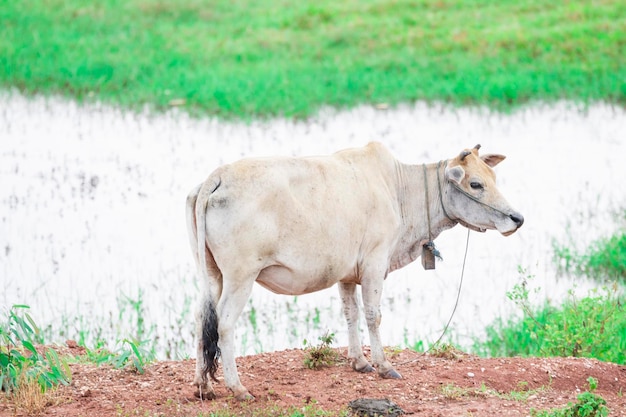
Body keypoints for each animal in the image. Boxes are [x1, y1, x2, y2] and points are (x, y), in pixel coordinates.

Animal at [185, 142, 520, 400]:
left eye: (493, 177)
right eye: (476, 184)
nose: (517, 218)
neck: (399, 189)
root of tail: (218, 176)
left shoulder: (346, 274)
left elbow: (351, 313)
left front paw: (359, 362)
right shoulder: (375, 263)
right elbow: (373, 315)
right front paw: (384, 366)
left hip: (211, 274)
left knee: (202, 317)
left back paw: (203, 386)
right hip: (241, 277)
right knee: (225, 323)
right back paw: (238, 388)